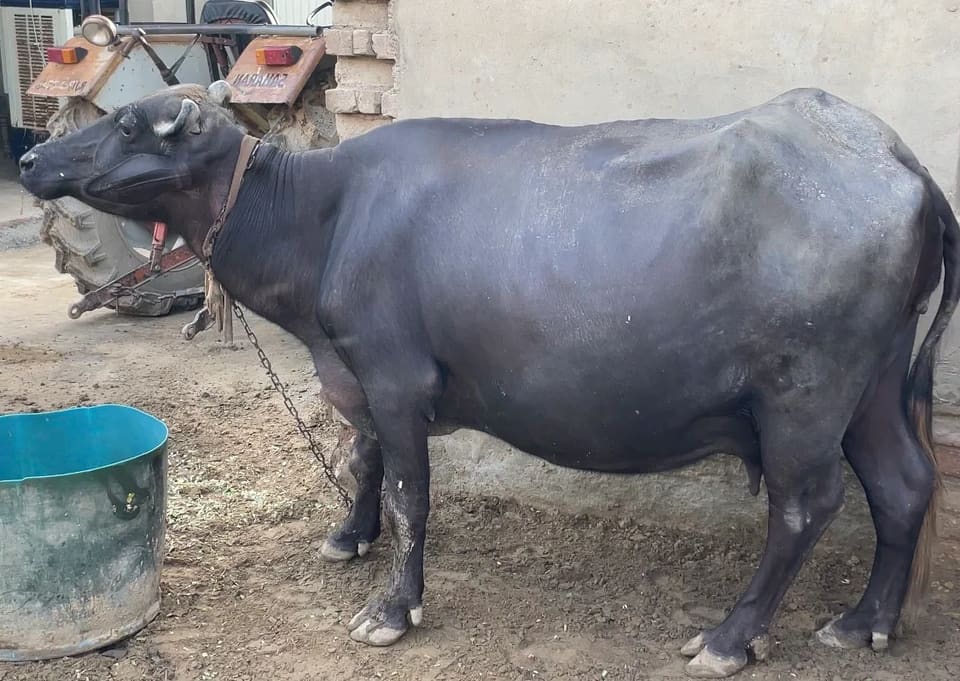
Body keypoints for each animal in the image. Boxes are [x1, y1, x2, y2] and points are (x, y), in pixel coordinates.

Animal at [20, 82, 958, 678]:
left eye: (131, 125)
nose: (30, 161)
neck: (326, 214)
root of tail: (894, 156)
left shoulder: (395, 378)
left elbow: (410, 494)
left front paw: (392, 608)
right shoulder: (358, 375)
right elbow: (361, 461)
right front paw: (346, 536)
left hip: (806, 395)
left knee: (806, 505)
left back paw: (731, 635)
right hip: (873, 385)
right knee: (904, 485)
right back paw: (865, 622)